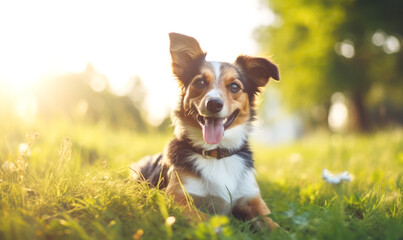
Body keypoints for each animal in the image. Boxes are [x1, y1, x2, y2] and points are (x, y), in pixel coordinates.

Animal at [133, 32, 280, 230]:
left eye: (235, 86)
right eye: (200, 82)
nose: (214, 104)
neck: (216, 153)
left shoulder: (253, 199)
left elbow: (274, 225)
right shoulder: (176, 198)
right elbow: (207, 219)